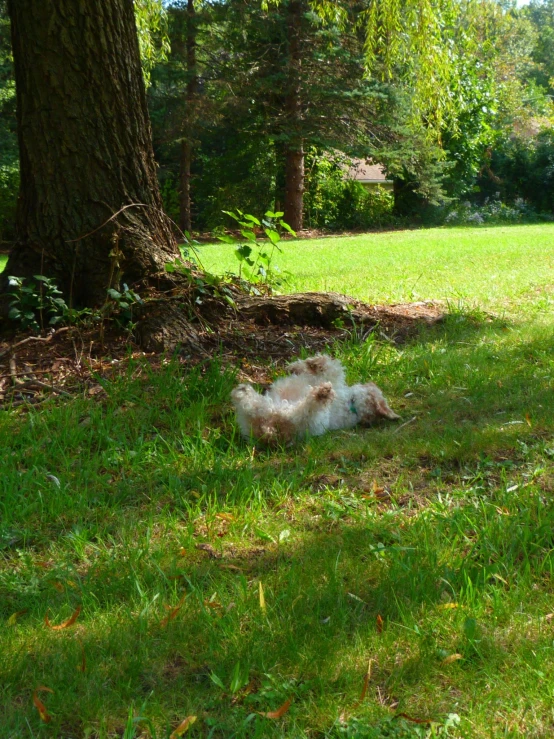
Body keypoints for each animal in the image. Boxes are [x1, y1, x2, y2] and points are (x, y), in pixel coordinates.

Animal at [229, 354, 396, 446]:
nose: (371, 383)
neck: (352, 405)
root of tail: (270, 430)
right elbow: (327, 365)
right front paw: (296, 366)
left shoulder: (331, 380)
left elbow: (332, 366)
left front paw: (310, 363)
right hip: (256, 419)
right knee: (252, 407)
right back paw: (243, 391)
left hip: (303, 417)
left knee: (301, 410)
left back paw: (321, 393)